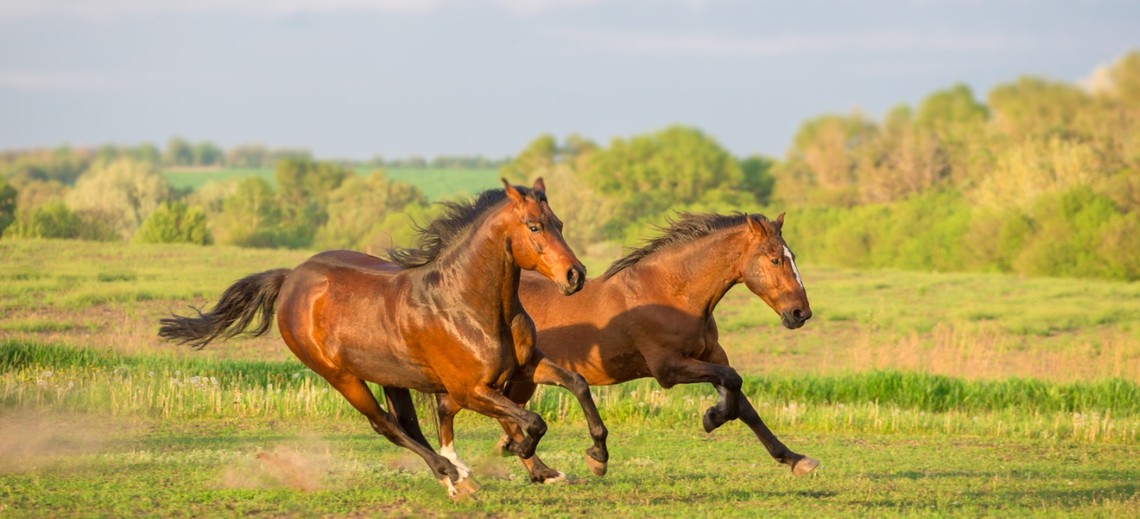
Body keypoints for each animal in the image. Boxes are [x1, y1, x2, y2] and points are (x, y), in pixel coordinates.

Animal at [158, 180, 615, 499]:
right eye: (534, 226)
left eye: (559, 224)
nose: (575, 276)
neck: (467, 303)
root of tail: (290, 279)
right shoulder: (467, 390)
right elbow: (532, 420)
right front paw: (516, 451)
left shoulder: (524, 365)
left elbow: (575, 385)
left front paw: (590, 459)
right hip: (342, 378)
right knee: (386, 425)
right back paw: (454, 477)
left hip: (392, 377)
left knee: (406, 423)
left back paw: (462, 477)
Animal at [430, 211, 816, 483]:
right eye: (775, 260)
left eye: (793, 256)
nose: (801, 313)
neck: (671, 291)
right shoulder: (669, 368)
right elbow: (732, 381)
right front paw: (712, 417)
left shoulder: (710, 355)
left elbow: (743, 402)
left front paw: (795, 459)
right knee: (482, 410)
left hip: (523, 378)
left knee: (502, 414)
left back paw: (531, 463)